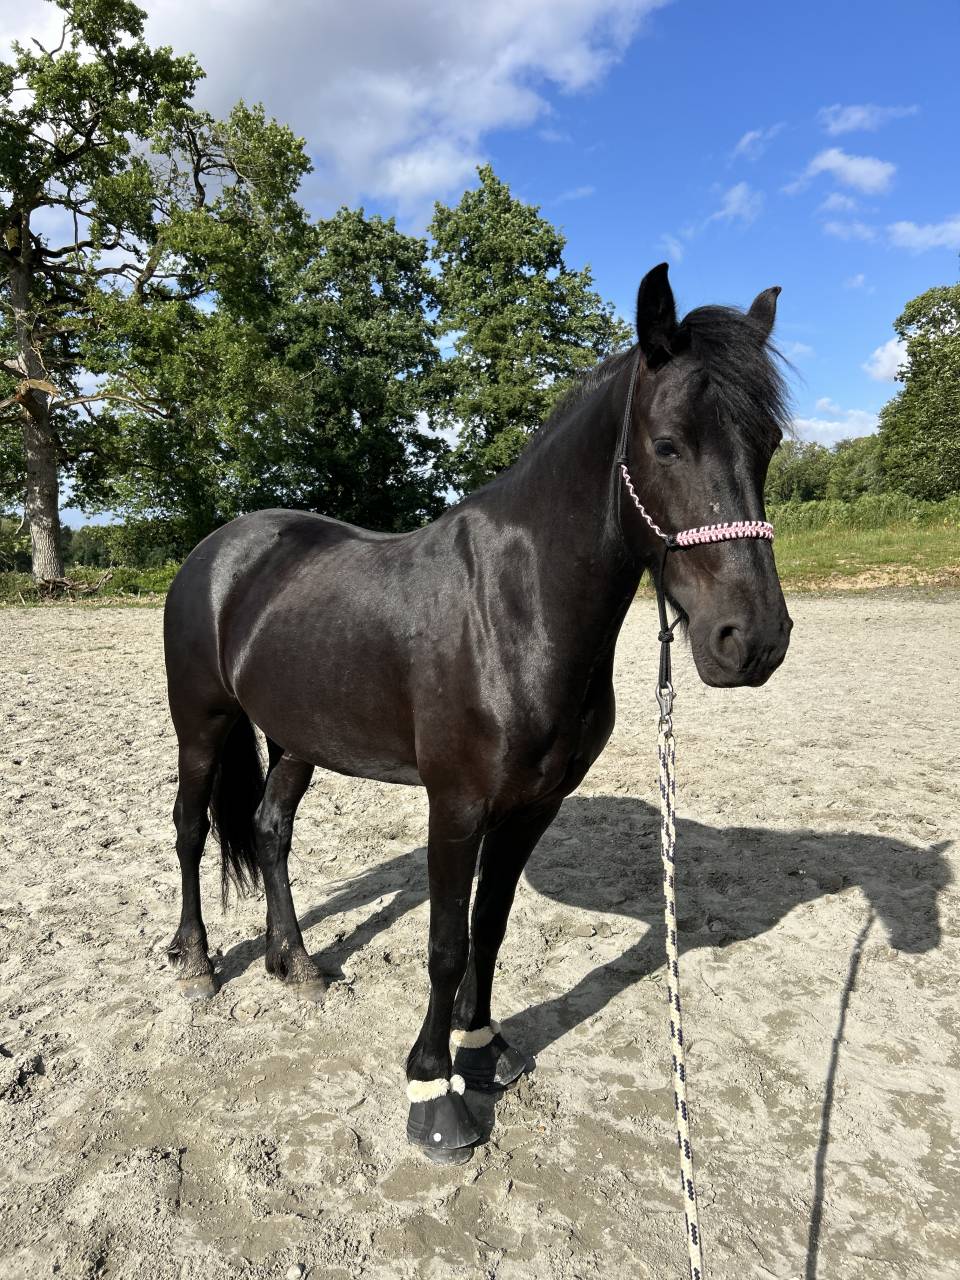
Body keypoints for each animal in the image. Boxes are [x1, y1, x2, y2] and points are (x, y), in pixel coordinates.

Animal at [162, 263, 792, 1162]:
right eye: (668, 443)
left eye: (767, 444)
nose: (754, 640)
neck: (516, 607)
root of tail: (218, 552)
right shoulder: (455, 805)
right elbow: (446, 943)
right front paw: (434, 1093)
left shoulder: (534, 805)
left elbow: (490, 927)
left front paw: (484, 1048)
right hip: (203, 725)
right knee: (188, 829)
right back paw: (197, 964)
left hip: (295, 739)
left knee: (271, 830)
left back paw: (298, 963)